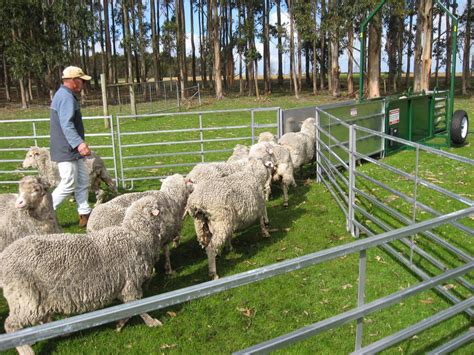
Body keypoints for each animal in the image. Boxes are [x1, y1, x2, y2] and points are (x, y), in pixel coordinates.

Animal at [0, 196, 169, 354]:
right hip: (24, 297)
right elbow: (138, 308)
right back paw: (26, 349)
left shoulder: (124, 285)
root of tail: (4, 257)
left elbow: (128, 308)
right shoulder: (131, 282)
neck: (137, 236)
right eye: (161, 209)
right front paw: (151, 322)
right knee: (11, 325)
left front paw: (120, 324)